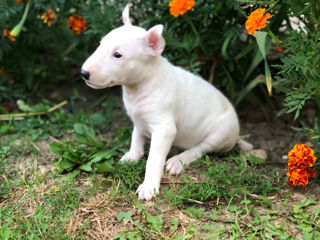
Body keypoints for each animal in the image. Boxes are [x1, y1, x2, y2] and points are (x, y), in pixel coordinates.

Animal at [82, 6, 252, 201]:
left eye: (117, 55)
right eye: (100, 44)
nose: (84, 73)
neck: (142, 83)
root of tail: (236, 135)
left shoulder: (164, 128)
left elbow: (154, 159)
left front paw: (148, 186)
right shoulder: (138, 119)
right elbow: (136, 136)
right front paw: (132, 156)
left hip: (221, 132)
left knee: (202, 148)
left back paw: (178, 160)